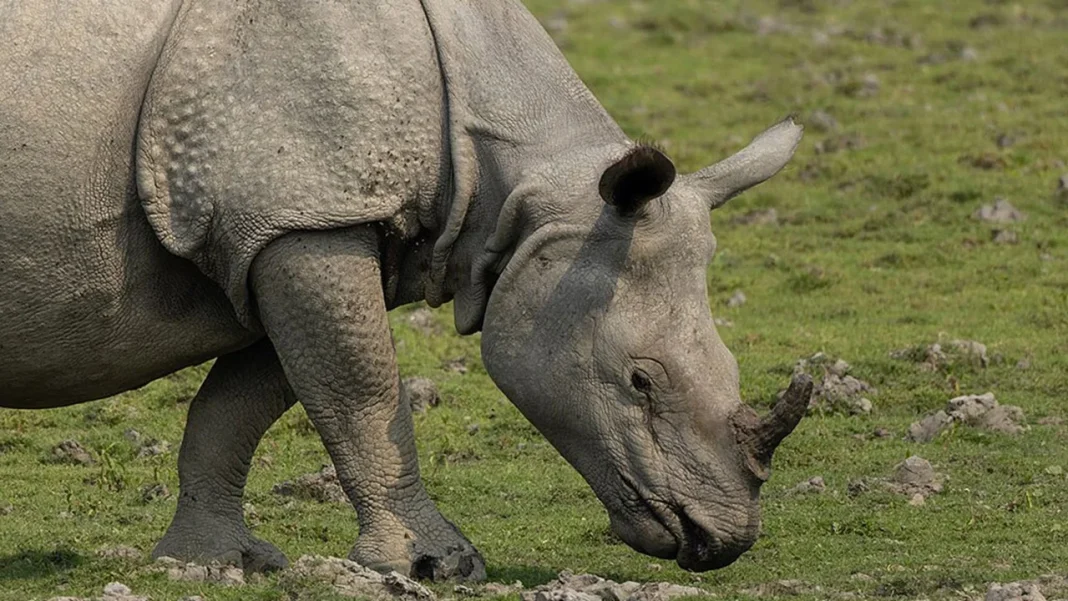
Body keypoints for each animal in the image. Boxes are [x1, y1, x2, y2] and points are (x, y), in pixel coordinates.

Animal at [0, 0, 812, 581]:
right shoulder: (306, 217)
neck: (526, 190)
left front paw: (212, 563)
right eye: (639, 381)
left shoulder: (297, 226)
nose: (723, 538)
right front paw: (433, 566)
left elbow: (245, 402)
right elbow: (364, 390)